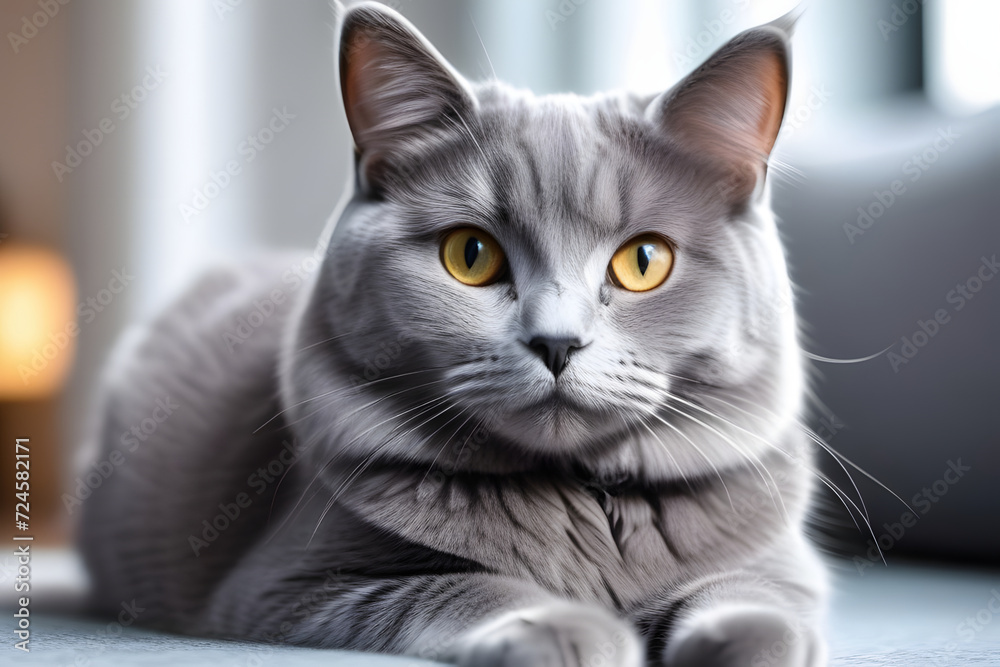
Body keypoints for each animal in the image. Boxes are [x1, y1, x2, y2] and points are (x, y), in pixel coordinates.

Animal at [78, 2, 828, 664]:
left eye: (644, 261)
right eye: (471, 255)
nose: (557, 342)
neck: (576, 500)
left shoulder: (785, 567)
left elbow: (756, 598)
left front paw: (742, 639)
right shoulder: (291, 584)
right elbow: (464, 586)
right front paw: (569, 629)